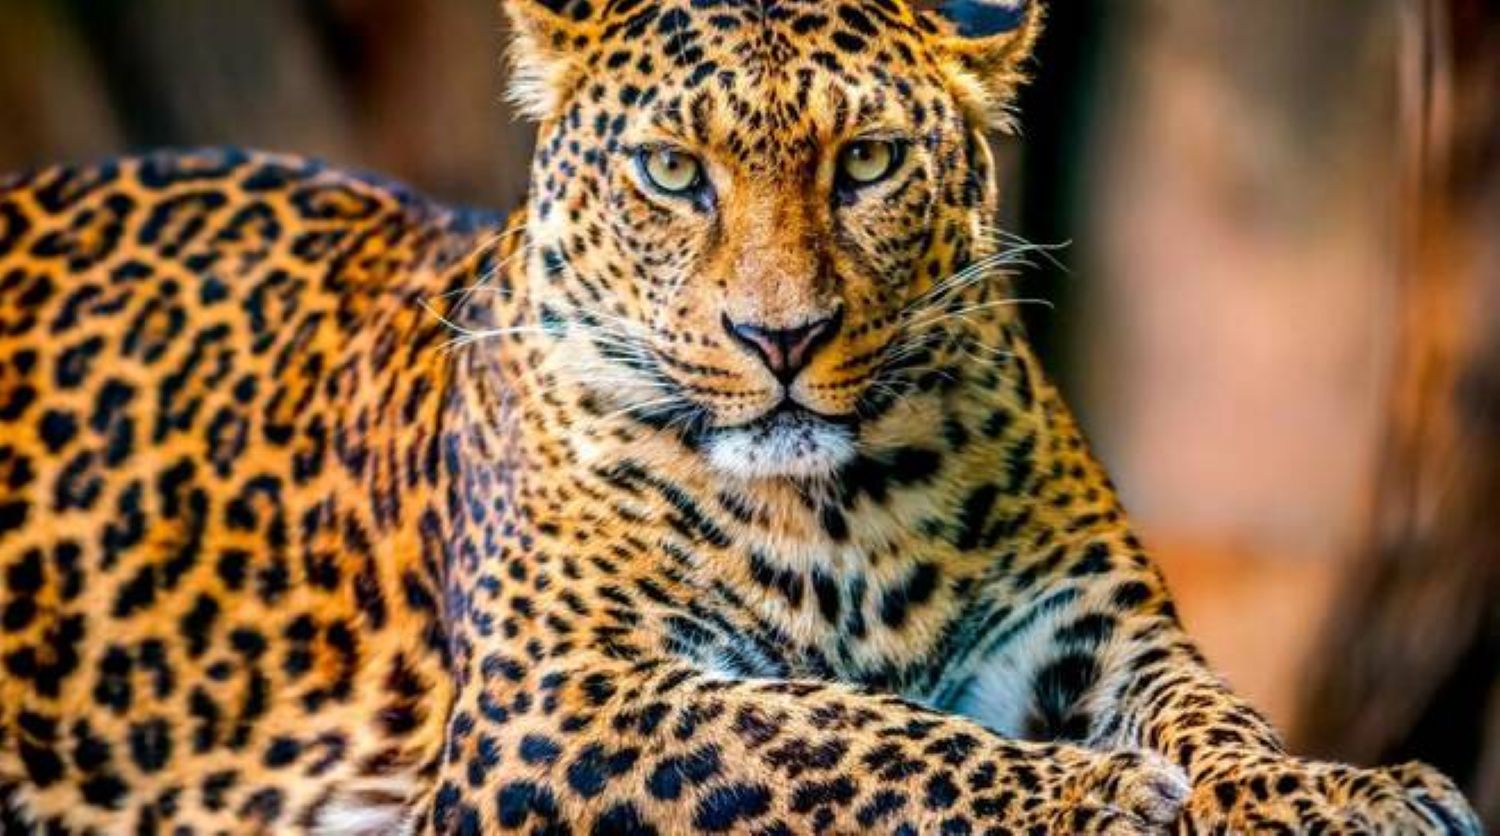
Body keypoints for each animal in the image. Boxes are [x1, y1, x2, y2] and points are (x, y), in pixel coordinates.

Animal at [0, 0, 1484, 833]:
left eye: (868, 162)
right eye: (673, 172)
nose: (781, 338)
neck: (847, 504)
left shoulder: (1094, 632)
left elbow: (1220, 717)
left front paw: (1348, 793)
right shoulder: (559, 704)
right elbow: (837, 731)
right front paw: (1097, 794)